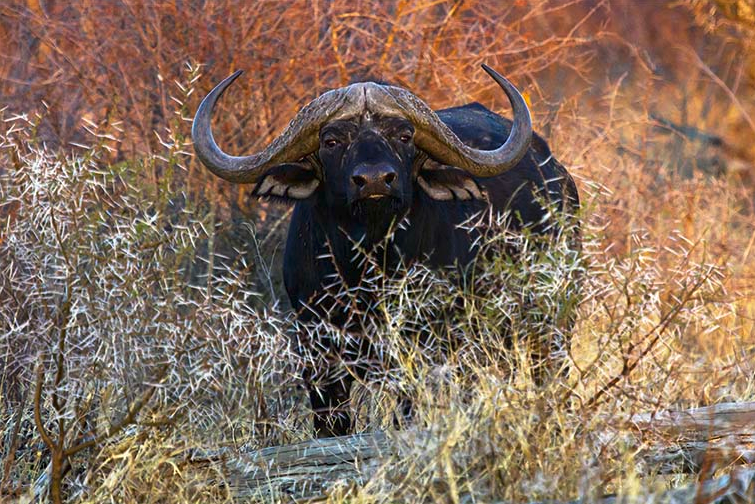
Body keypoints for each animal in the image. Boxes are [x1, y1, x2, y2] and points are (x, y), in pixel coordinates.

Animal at [193, 66, 580, 438]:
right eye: (331, 140)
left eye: (404, 136)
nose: (376, 180)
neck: (365, 267)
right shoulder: (317, 356)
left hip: (549, 329)